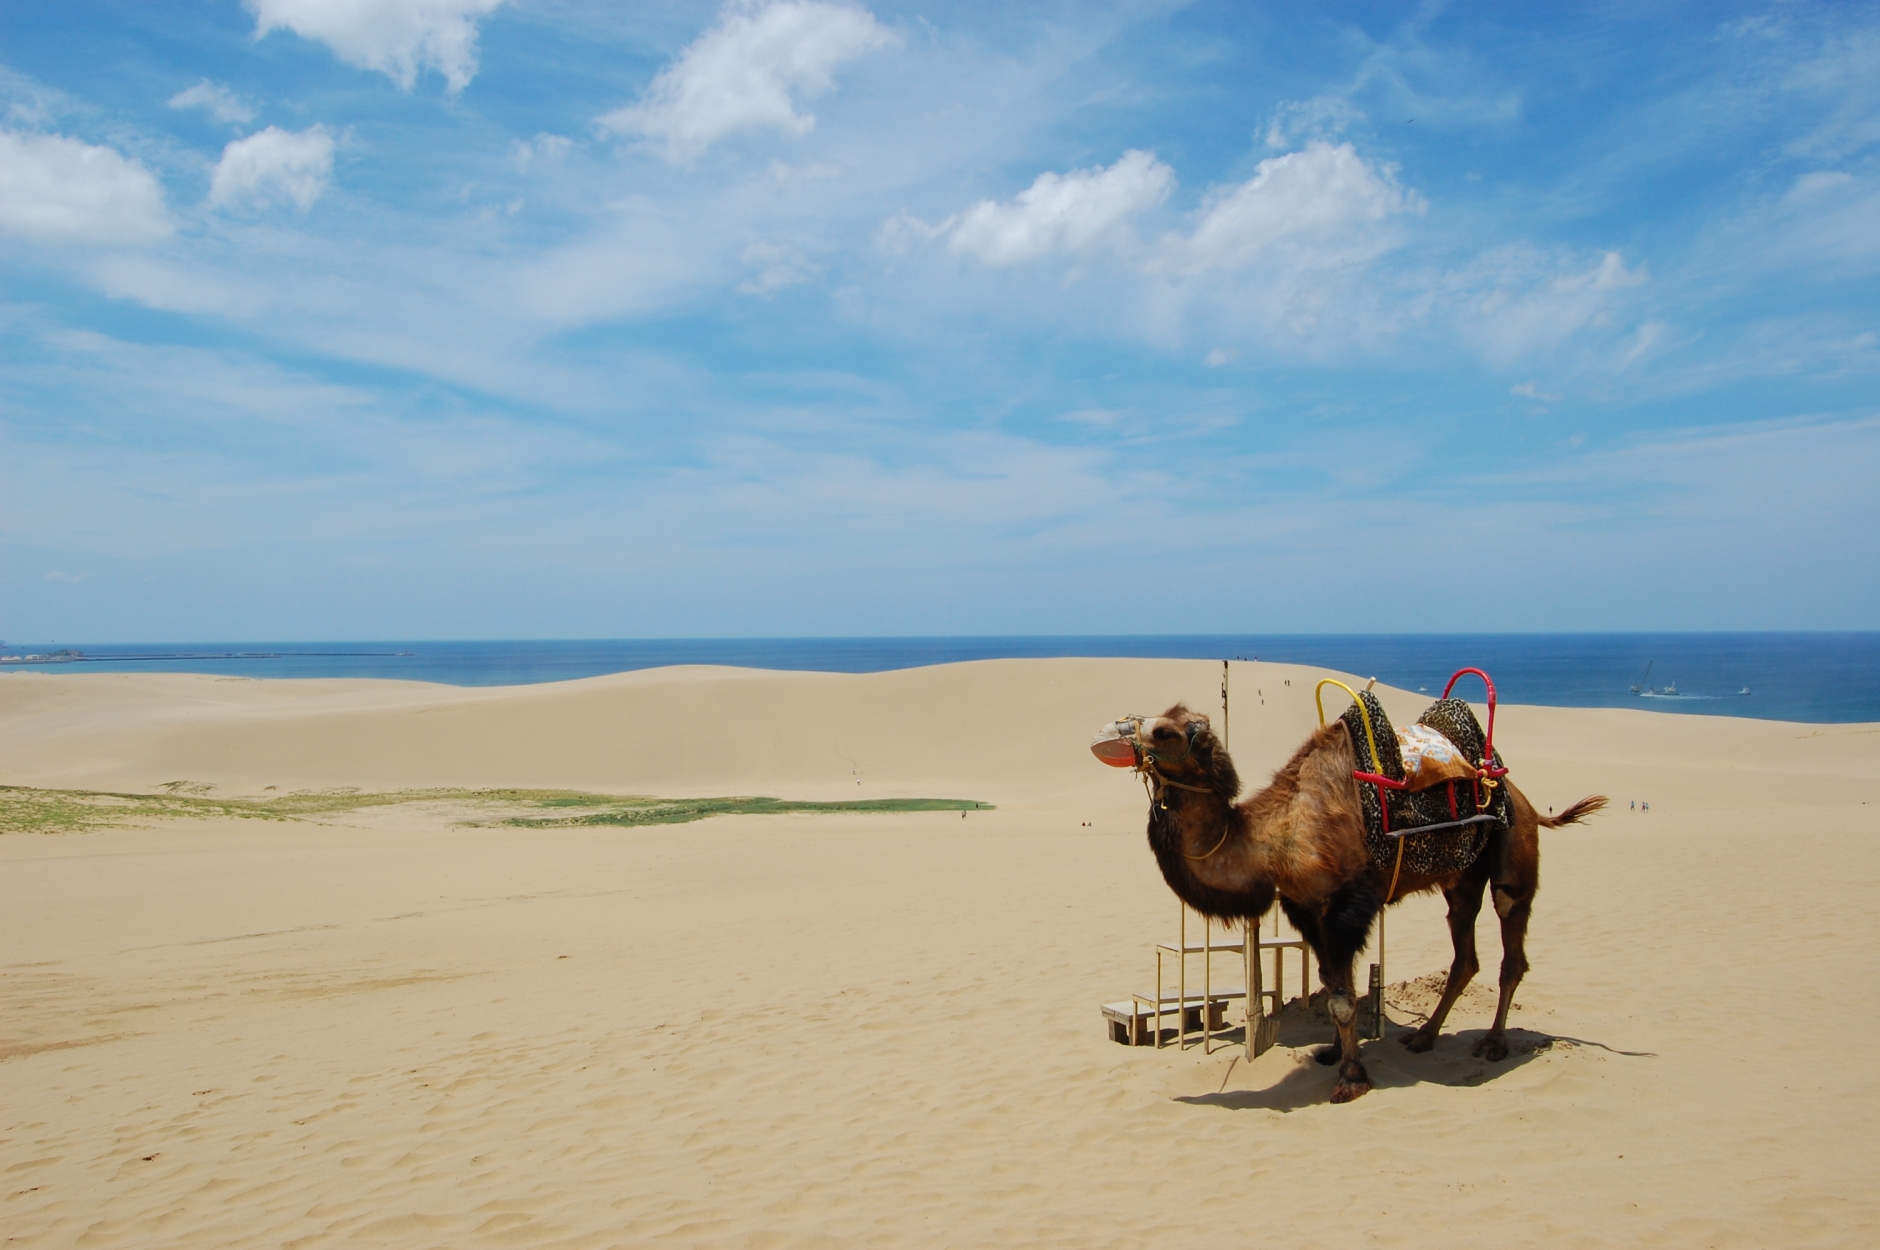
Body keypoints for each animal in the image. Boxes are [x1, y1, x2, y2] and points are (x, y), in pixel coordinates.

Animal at [1094, 702, 1605, 1104]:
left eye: (1165, 731)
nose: (1106, 733)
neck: (1273, 839)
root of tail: (1523, 798)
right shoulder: (1307, 909)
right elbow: (1333, 985)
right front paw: (1336, 1053)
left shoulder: (1345, 909)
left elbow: (1341, 999)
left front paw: (1351, 1079)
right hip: (1460, 880)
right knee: (1466, 956)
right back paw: (1424, 1037)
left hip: (1512, 856)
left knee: (1510, 945)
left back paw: (1494, 1044)